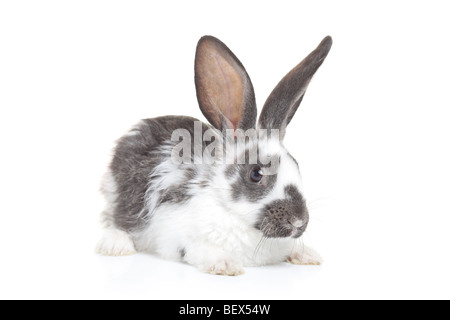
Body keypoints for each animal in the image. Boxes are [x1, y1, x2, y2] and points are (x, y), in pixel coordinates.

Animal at [96, 35, 332, 276]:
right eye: (256, 174)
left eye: (297, 164)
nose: (298, 221)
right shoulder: (177, 233)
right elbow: (198, 249)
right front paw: (225, 265)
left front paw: (308, 255)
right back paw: (116, 246)